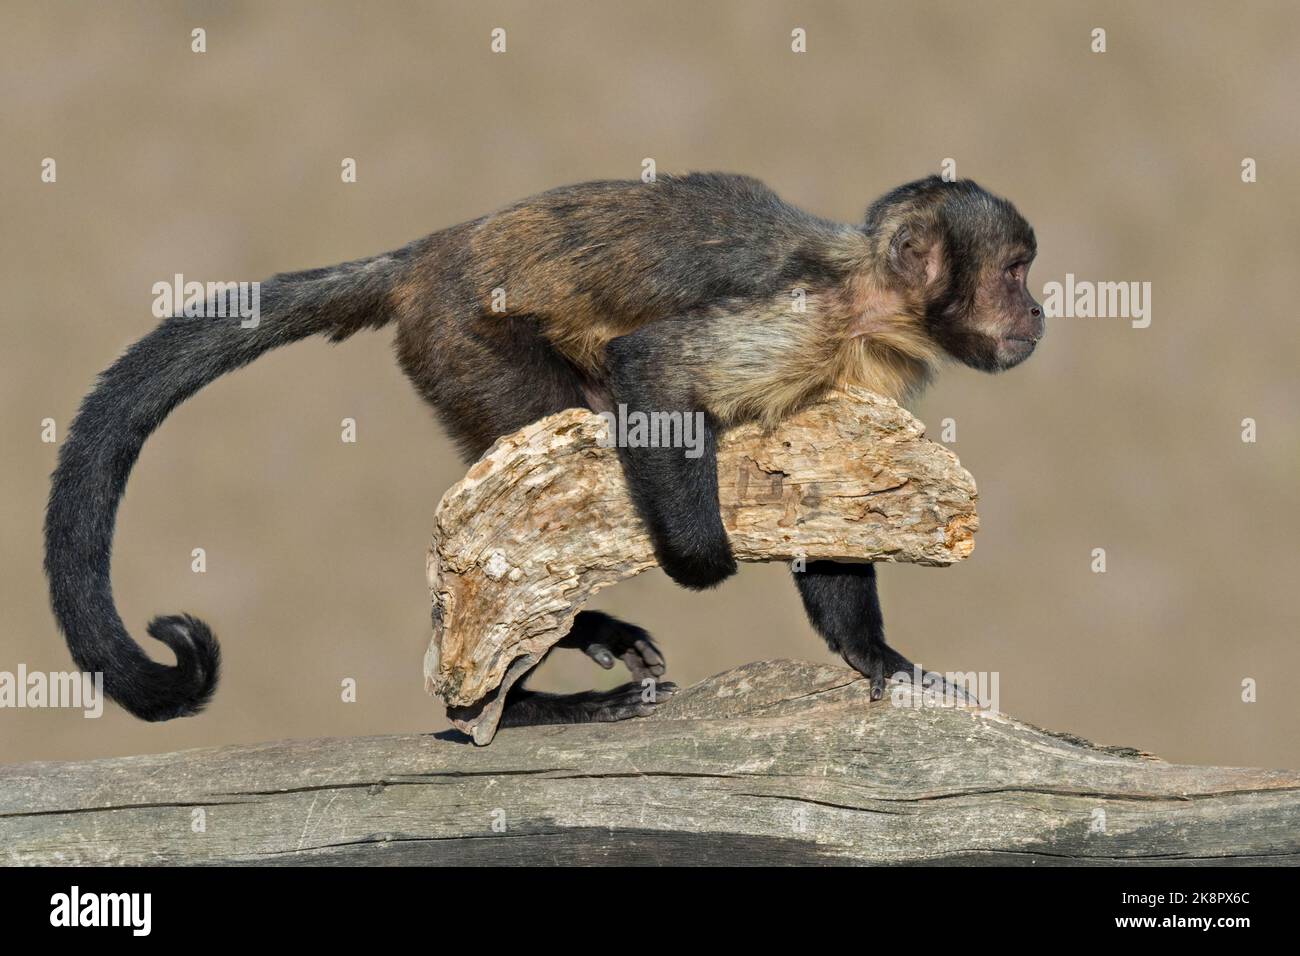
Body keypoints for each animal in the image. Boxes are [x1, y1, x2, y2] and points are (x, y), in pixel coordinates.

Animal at [43, 172, 1042, 728]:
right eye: (1014, 271)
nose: (1037, 310)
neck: (870, 302)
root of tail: (428, 254)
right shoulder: (806, 318)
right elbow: (653, 373)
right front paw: (703, 560)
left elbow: (833, 509)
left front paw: (878, 660)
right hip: (463, 341)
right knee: (561, 428)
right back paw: (527, 705)